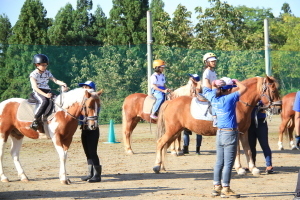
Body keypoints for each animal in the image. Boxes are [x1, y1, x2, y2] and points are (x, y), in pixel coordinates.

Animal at [152, 76, 282, 175]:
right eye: (273, 90)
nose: (279, 108)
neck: (238, 103)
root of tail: (169, 102)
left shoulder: (243, 132)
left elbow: (248, 150)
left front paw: (253, 168)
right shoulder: (234, 132)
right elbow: (237, 151)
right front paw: (239, 169)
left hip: (175, 132)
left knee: (164, 145)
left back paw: (162, 166)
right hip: (172, 131)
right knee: (160, 143)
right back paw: (157, 166)